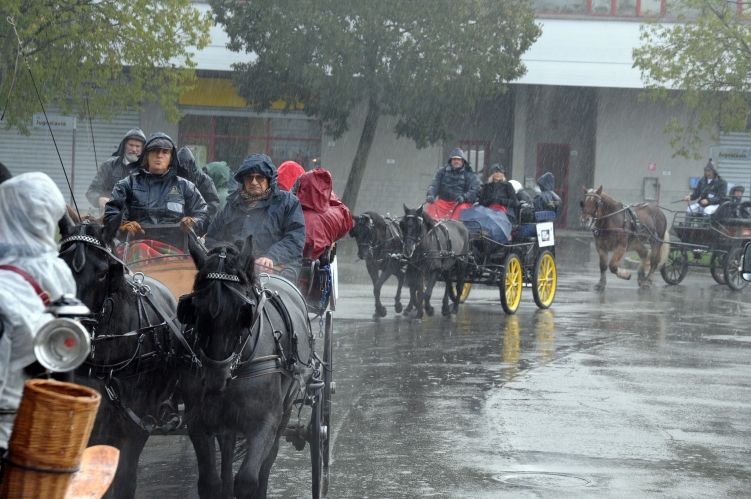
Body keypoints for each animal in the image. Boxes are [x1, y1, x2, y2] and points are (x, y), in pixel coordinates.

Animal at [181, 235, 316, 499]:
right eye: (195, 307)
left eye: (241, 310)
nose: (215, 379)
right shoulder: (199, 421)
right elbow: (210, 483)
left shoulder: (265, 421)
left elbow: (246, 480)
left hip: (285, 409)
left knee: (268, 459)